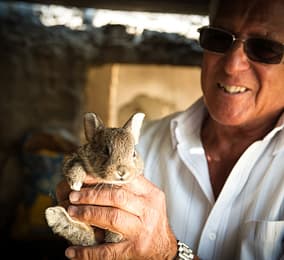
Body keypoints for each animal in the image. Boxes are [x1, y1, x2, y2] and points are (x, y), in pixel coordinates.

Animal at [46, 111, 146, 246]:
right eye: (105, 151)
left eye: (133, 153)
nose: (122, 171)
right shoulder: (73, 159)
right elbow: (76, 165)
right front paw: (75, 184)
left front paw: (114, 237)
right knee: (85, 235)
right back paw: (53, 215)